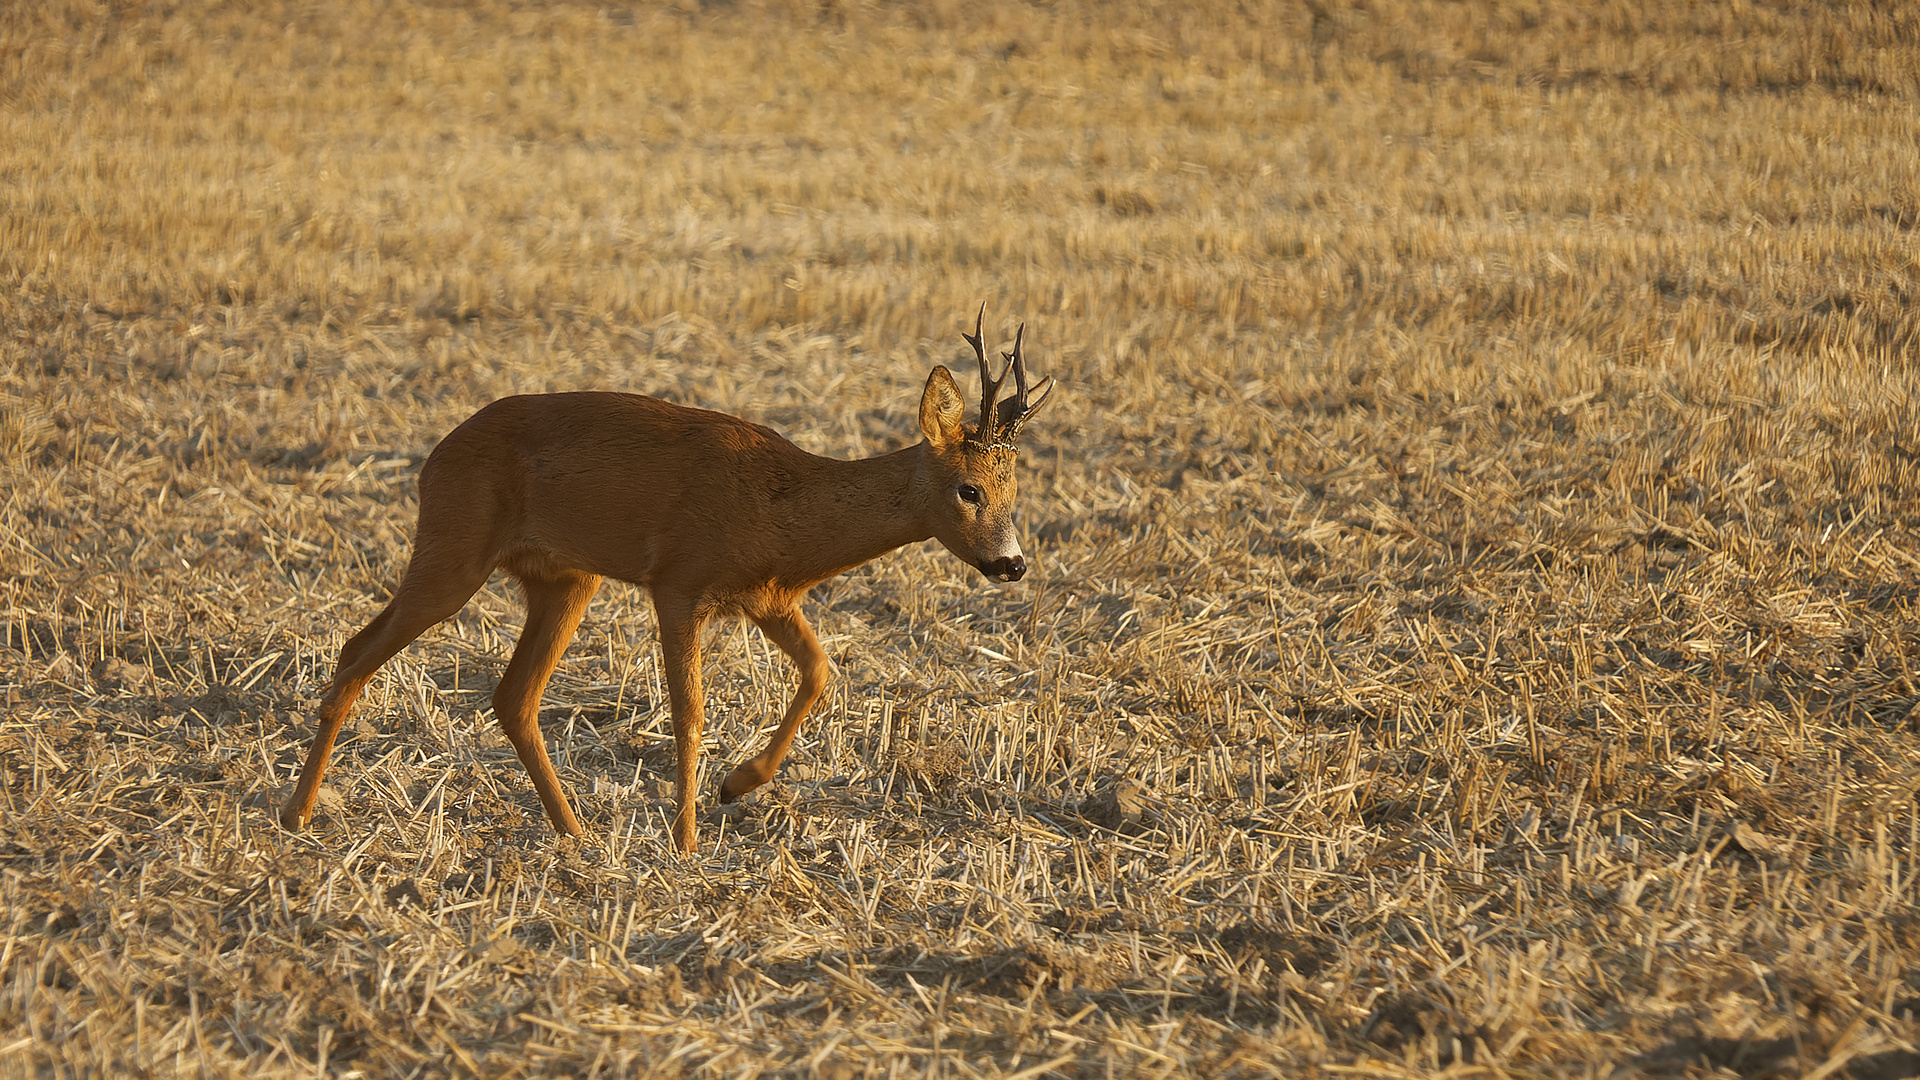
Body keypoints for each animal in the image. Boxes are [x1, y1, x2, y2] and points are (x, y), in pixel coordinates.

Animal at [278, 307, 1059, 853]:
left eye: (1015, 489)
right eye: (967, 490)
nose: (1012, 563)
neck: (781, 511)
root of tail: (432, 459)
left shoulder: (768, 598)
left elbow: (821, 672)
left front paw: (737, 785)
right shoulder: (680, 580)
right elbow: (690, 712)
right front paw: (686, 838)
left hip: (565, 579)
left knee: (513, 697)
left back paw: (575, 832)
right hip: (455, 545)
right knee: (356, 650)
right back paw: (297, 813)